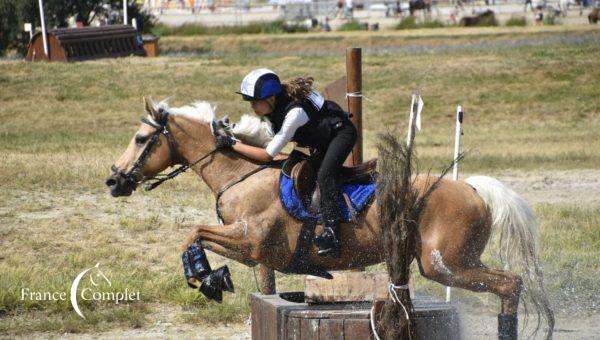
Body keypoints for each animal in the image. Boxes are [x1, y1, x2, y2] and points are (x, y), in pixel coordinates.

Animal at [106, 99, 552, 338]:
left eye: (141, 139)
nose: (113, 180)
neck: (241, 174)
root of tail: (473, 188)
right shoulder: (250, 248)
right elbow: (197, 236)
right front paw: (211, 277)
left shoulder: (250, 241)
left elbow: (192, 234)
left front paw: (205, 277)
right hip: (451, 261)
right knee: (509, 284)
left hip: (445, 264)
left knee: (510, 284)